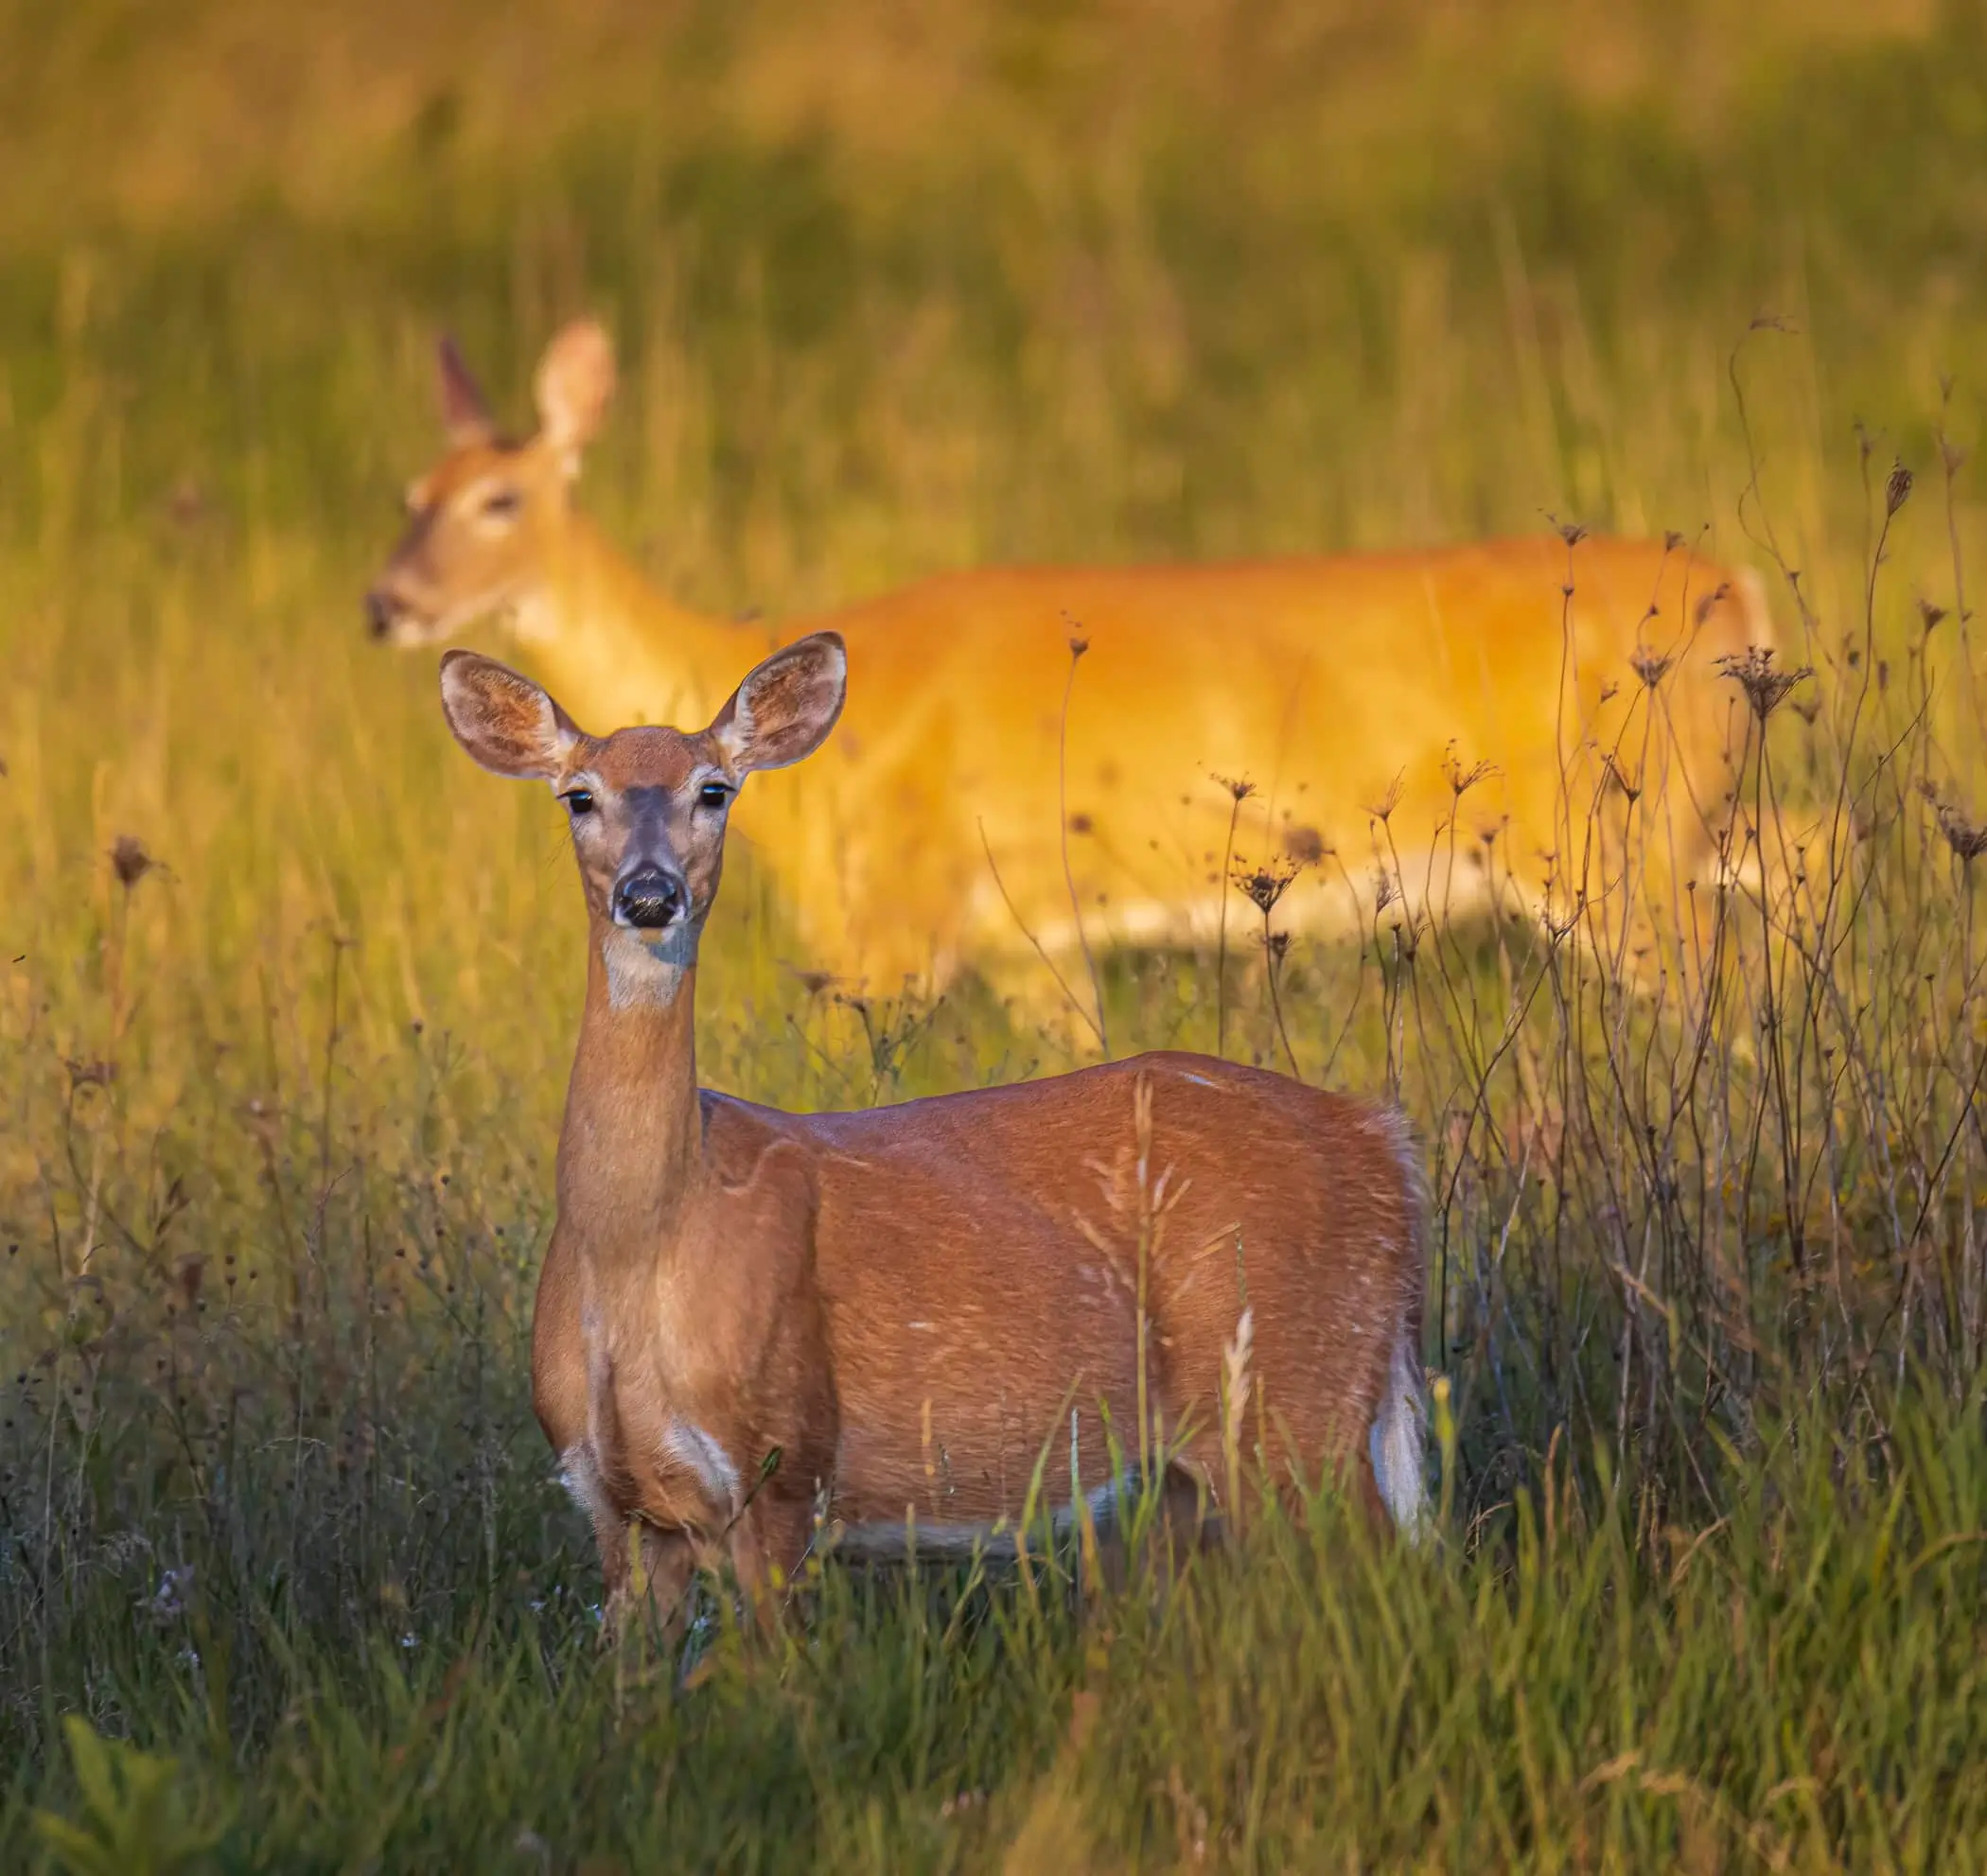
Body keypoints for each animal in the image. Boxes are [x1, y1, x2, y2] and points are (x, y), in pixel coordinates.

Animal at [376, 318, 1776, 1010]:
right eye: (408, 496)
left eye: (500, 499)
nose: (385, 601)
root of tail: (1736, 594)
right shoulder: (1021, 936)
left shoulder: (892, 925)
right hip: (1692, 811)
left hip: (1598, 834)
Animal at [436, 629, 1430, 1632]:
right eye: (578, 795)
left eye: (713, 789)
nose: (649, 894)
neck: (641, 1247)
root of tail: (1381, 1138)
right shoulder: (615, 1508)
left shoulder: (783, 1463)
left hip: (1294, 1395)